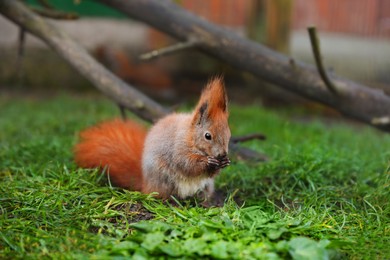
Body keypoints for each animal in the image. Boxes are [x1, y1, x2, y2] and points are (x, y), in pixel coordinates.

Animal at [74, 76, 230, 200]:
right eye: (207, 136)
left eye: (228, 135)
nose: (222, 154)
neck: (190, 136)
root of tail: (146, 184)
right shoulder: (177, 148)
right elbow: (186, 164)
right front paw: (208, 162)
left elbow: (210, 174)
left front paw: (224, 162)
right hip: (164, 179)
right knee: (163, 195)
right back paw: (173, 202)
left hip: (206, 186)